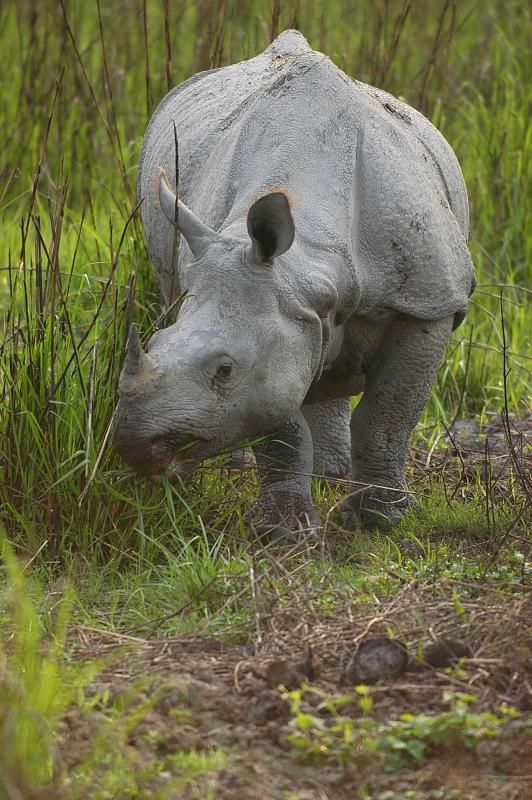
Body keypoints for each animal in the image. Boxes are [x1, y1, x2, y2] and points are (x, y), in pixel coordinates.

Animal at [114, 30, 475, 537]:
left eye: (224, 370)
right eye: (153, 344)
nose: (134, 445)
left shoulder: (427, 301)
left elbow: (388, 416)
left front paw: (383, 521)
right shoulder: (277, 320)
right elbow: (279, 420)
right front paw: (282, 532)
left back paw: (335, 480)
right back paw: (308, 476)